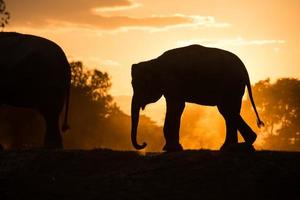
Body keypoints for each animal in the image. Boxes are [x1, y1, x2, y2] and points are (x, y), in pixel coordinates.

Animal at [130, 44, 264, 152]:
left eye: (139, 86)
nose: (144, 143)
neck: (154, 62)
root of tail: (244, 69)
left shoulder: (172, 82)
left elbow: (176, 107)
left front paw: (170, 149)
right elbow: (177, 107)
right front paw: (172, 148)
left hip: (231, 85)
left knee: (227, 110)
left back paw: (239, 145)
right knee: (229, 112)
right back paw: (235, 146)